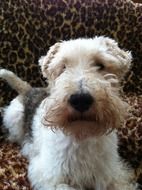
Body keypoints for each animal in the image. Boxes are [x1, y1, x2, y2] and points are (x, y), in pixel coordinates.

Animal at [0, 36, 136, 190]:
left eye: (100, 65)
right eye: (63, 67)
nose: (81, 100)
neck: (82, 135)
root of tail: (28, 89)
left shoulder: (113, 174)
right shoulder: (49, 176)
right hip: (15, 118)